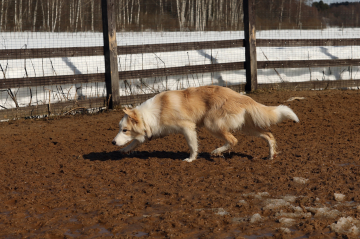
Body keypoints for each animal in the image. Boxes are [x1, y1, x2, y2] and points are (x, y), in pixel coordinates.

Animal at [112, 85, 298, 162]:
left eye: (125, 130)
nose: (112, 142)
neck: (150, 114)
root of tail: (242, 97)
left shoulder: (187, 127)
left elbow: (192, 145)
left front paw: (190, 159)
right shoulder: (150, 133)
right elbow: (135, 142)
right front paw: (122, 150)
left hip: (212, 123)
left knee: (233, 140)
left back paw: (216, 152)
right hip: (247, 127)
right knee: (268, 134)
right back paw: (271, 155)